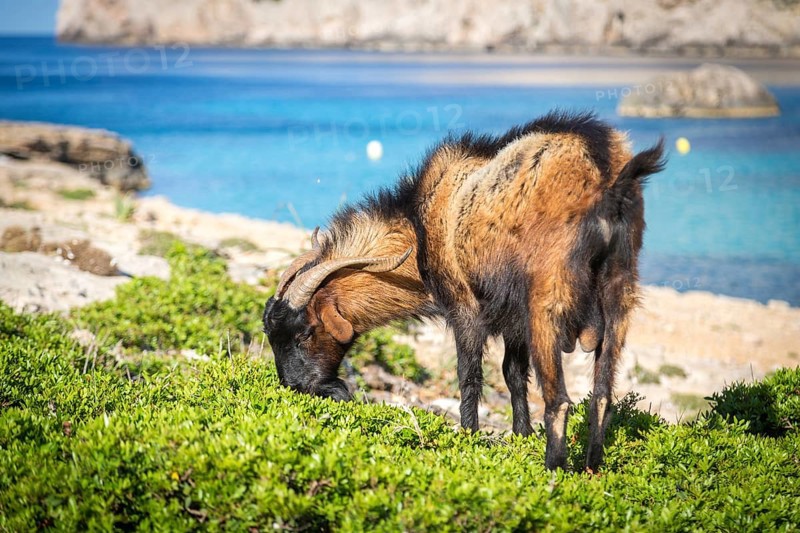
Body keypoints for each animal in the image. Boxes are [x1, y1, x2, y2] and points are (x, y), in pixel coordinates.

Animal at [263, 111, 665, 471]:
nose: (297, 388)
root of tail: (605, 174)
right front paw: (521, 436)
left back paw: (555, 470)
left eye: (304, 334)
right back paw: (591, 468)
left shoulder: (466, 306)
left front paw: (468, 438)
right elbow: (513, 375)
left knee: (560, 401)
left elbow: (469, 375)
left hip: (547, 298)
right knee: (602, 396)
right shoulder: (512, 318)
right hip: (619, 290)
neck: (422, 227)